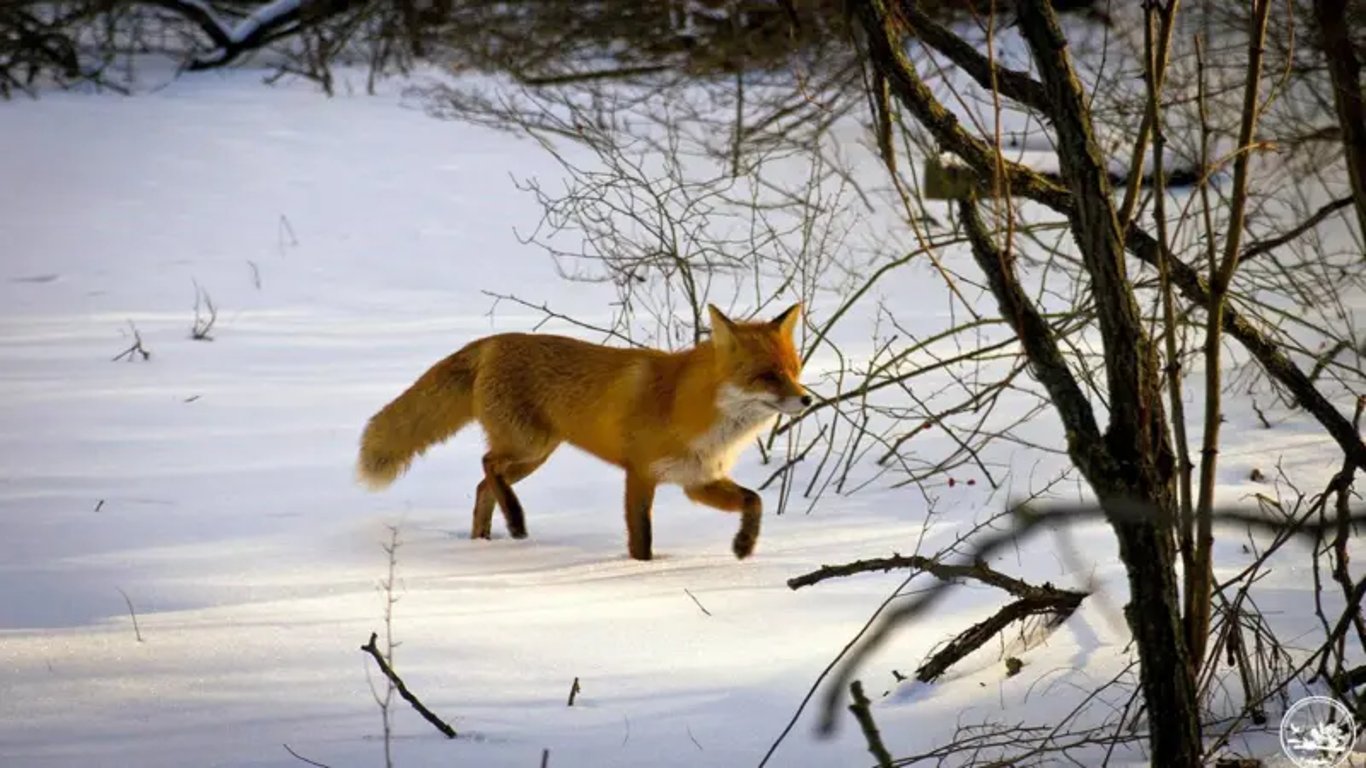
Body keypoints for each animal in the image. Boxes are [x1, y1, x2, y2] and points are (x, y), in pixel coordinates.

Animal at [357, 302, 814, 560]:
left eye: (794, 371)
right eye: (767, 376)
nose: (807, 400)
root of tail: (493, 340)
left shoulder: (698, 480)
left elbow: (754, 501)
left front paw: (744, 545)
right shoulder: (641, 474)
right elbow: (642, 539)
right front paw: (645, 573)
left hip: (534, 456)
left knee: (483, 485)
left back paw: (483, 541)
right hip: (530, 446)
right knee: (487, 465)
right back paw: (515, 520)